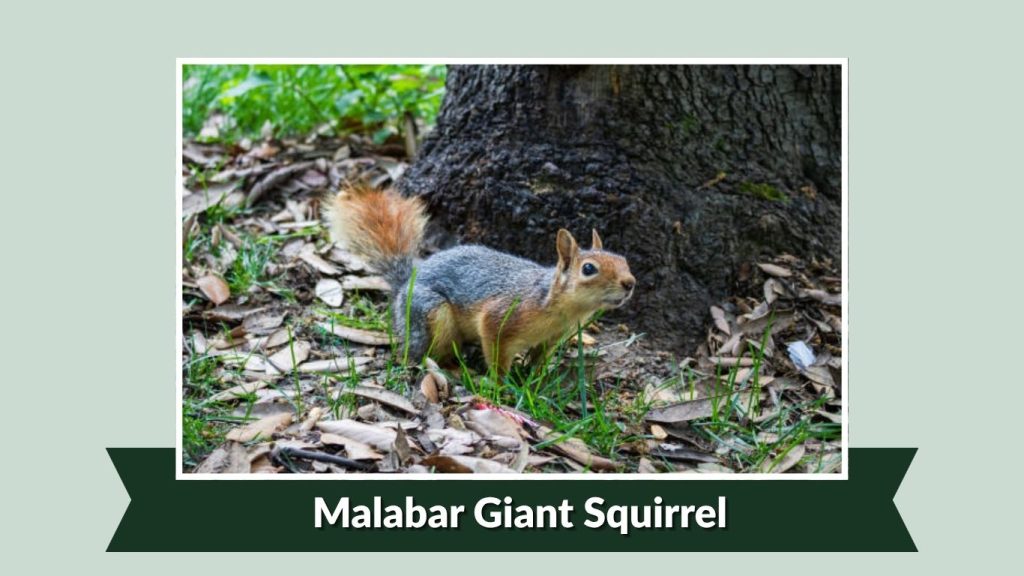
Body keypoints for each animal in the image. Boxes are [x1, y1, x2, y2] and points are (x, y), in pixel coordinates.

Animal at [323, 185, 636, 376]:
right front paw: (501, 384)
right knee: (426, 353)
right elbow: (496, 350)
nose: (630, 283)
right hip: (433, 315)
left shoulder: (551, 339)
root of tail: (405, 285)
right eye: (589, 269)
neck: (552, 302)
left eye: (623, 259)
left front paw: (536, 379)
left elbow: (539, 359)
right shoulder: (501, 316)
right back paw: (454, 369)